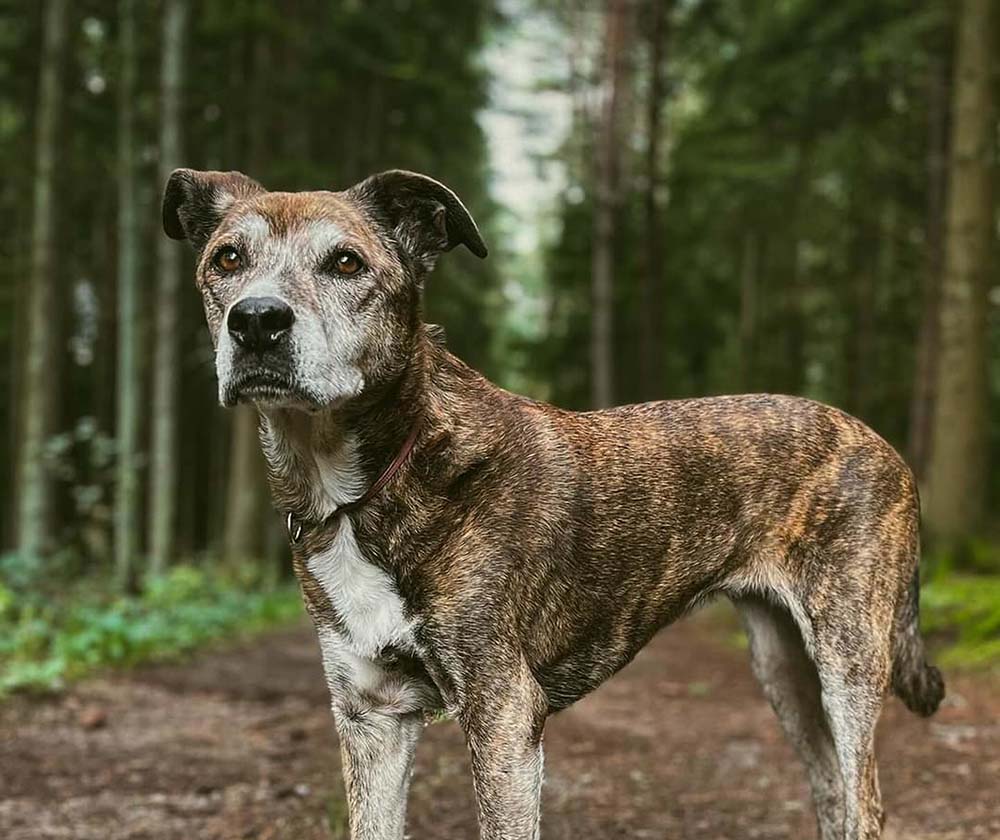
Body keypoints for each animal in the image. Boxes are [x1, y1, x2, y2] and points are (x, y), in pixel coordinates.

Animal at [162, 169, 944, 840]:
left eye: (347, 263)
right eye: (227, 259)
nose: (256, 322)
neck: (367, 485)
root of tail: (882, 442)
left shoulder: (503, 714)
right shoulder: (369, 716)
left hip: (847, 657)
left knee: (865, 798)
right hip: (784, 670)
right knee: (832, 791)